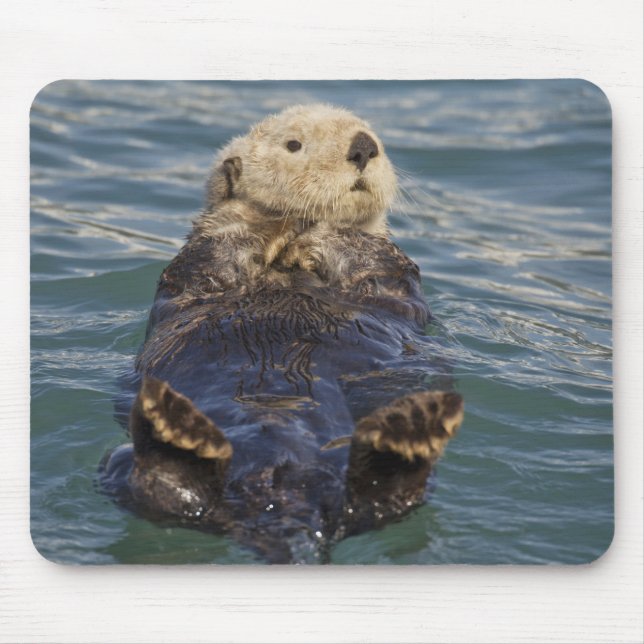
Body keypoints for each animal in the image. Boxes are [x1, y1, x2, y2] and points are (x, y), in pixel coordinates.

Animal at [102, 105, 464, 563]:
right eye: (294, 144)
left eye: (373, 135)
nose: (364, 147)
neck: (285, 267)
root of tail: (286, 501)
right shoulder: (196, 269)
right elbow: (217, 252)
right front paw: (263, 223)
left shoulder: (391, 275)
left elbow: (372, 263)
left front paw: (323, 231)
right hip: (117, 463)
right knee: (161, 493)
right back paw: (175, 432)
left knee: (383, 501)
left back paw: (409, 435)